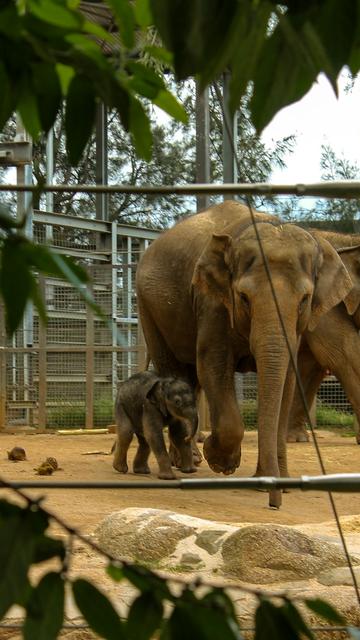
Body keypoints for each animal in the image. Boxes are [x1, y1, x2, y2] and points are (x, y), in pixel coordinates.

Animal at [136, 202, 352, 508]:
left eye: (305, 300)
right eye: (244, 297)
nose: (274, 504)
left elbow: (287, 379)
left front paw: (275, 482)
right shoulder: (212, 302)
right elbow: (212, 365)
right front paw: (221, 461)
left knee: (190, 380)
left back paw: (192, 459)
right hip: (149, 309)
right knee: (174, 369)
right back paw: (188, 462)